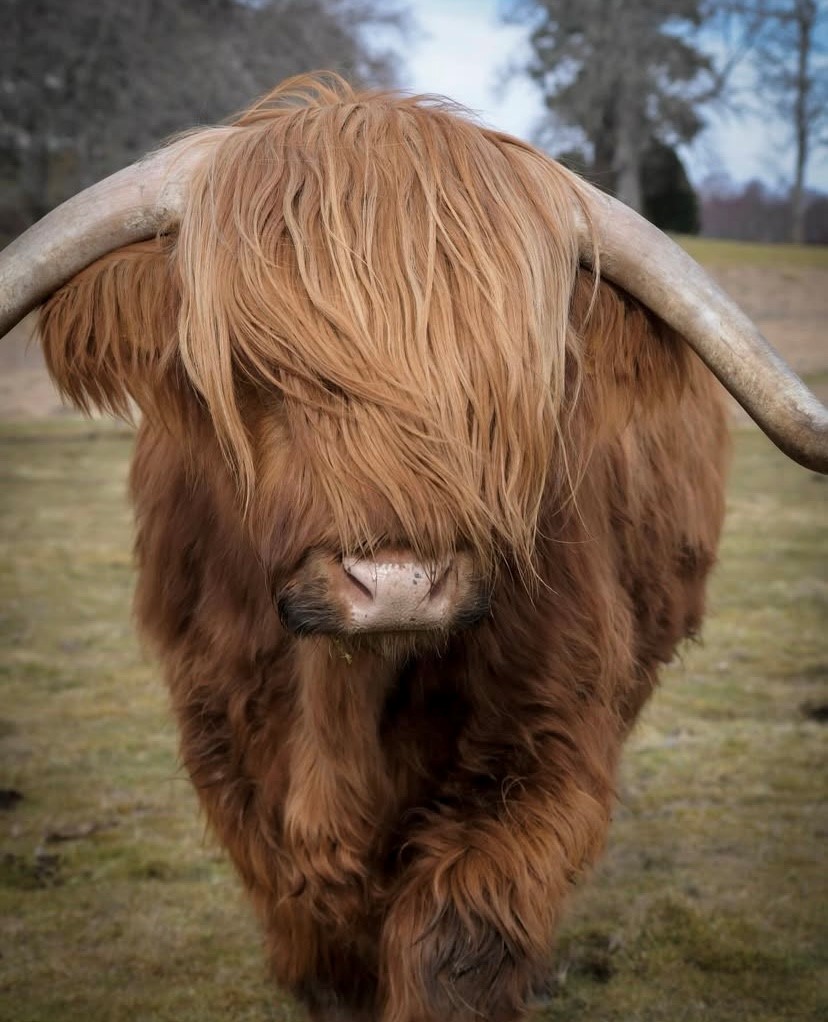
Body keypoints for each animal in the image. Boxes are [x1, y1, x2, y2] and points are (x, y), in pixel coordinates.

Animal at [1, 75, 825, 1022]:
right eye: (253, 369)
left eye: (508, 392)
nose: (396, 582)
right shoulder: (219, 727)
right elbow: (311, 923)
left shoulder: (549, 738)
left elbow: (457, 939)